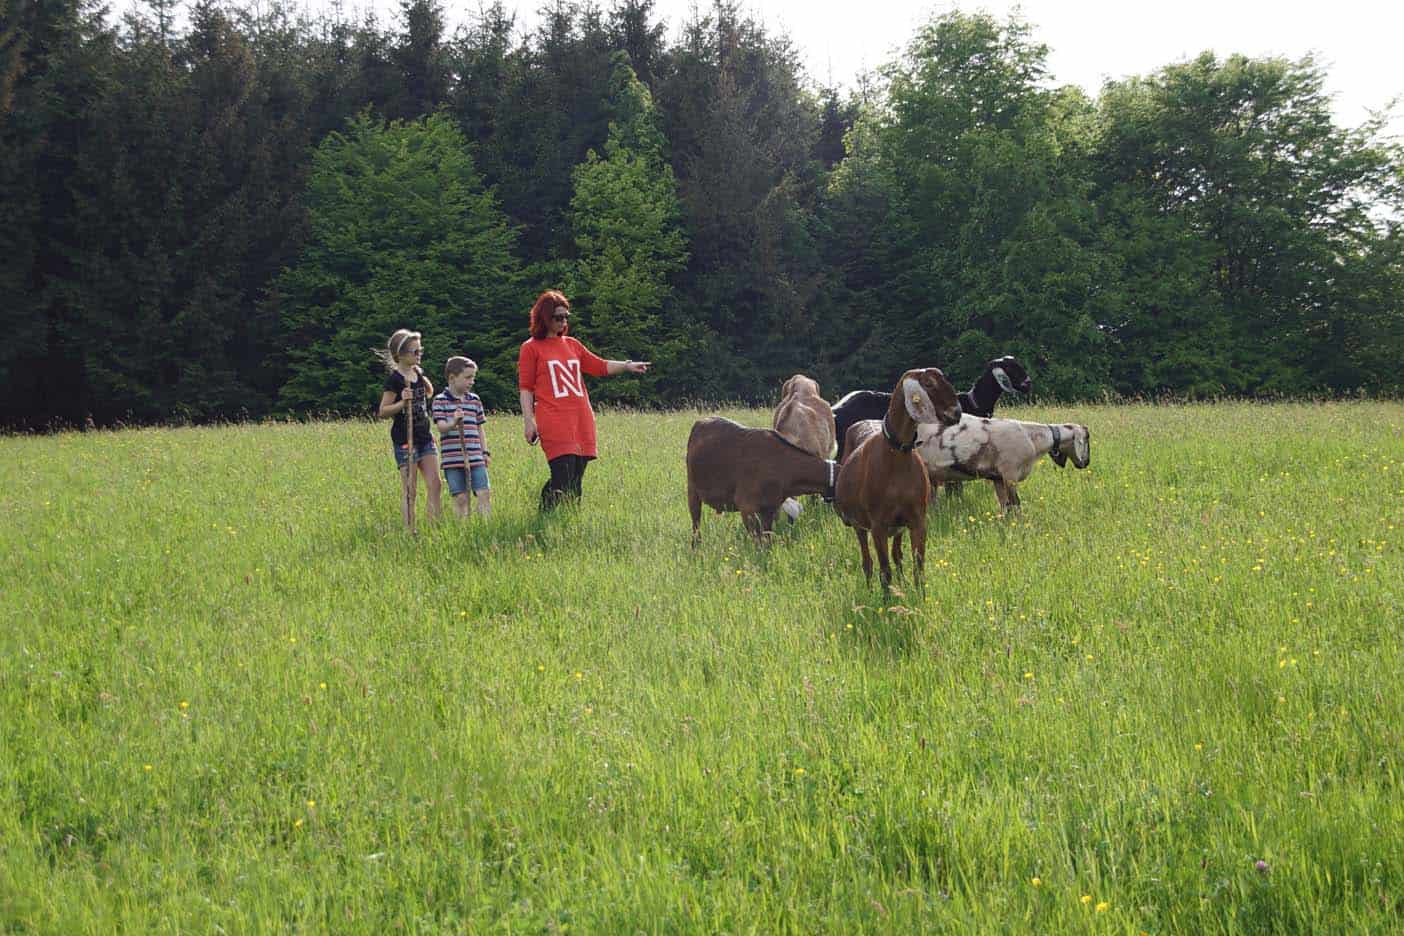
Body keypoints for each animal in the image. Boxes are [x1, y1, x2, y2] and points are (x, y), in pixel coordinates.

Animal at [687, 418, 836, 544]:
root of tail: (701, 422)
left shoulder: (769, 508)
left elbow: (767, 539)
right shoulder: (747, 507)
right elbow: (757, 542)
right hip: (692, 490)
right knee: (696, 525)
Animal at [831, 367, 965, 592]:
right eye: (928, 384)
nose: (956, 412)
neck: (895, 456)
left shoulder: (917, 520)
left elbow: (918, 566)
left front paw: (920, 595)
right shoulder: (878, 527)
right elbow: (885, 571)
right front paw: (886, 598)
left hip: (898, 527)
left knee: (897, 555)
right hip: (860, 526)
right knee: (867, 562)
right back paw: (870, 590)